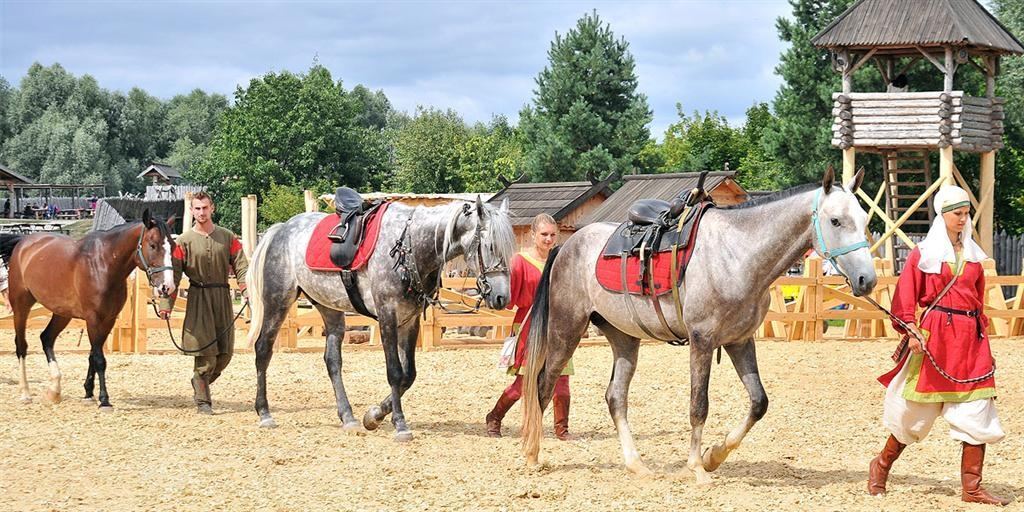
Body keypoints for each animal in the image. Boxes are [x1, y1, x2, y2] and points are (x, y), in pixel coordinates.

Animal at [2, 208, 175, 407]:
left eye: (173, 245)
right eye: (153, 245)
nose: (167, 287)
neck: (103, 265)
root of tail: (23, 242)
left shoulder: (108, 320)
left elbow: (93, 354)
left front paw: (88, 392)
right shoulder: (93, 319)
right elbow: (99, 359)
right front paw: (104, 399)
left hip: (62, 313)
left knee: (46, 338)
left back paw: (54, 390)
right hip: (21, 306)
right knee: (21, 345)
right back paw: (25, 393)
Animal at [244, 195, 516, 440]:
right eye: (490, 246)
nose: (502, 296)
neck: (409, 246)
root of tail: (281, 229)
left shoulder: (410, 321)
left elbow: (409, 375)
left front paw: (374, 415)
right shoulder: (387, 316)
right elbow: (395, 372)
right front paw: (399, 424)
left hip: (329, 308)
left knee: (332, 361)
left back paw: (348, 416)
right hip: (278, 301)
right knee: (263, 349)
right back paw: (265, 413)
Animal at [524, 167, 876, 483]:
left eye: (865, 220)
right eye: (835, 220)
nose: (867, 279)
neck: (738, 254)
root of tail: (567, 245)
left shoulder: (739, 341)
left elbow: (758, 402)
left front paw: (713, 456)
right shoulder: (702, 339)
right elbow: (699, 405)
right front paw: (696, 467)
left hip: (623, 338)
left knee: (615, 397)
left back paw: (636, 464)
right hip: (566, 329)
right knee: (543, 384)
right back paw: (532, 454)